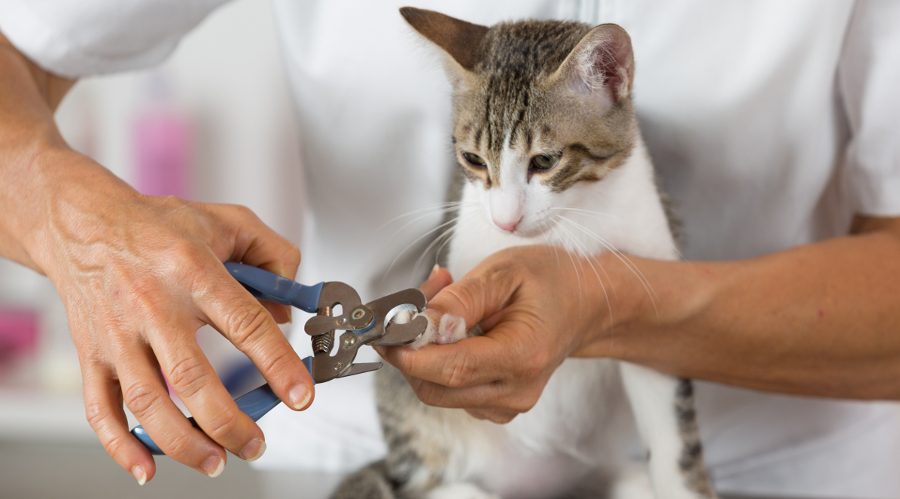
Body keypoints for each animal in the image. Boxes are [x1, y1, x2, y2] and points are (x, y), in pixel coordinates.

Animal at [334, 7, 712, 499]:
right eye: (474, 160)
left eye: (545, 161)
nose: (506, 221)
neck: (566, 227)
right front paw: (436, 323)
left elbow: (673, 434)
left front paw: (683, 484)